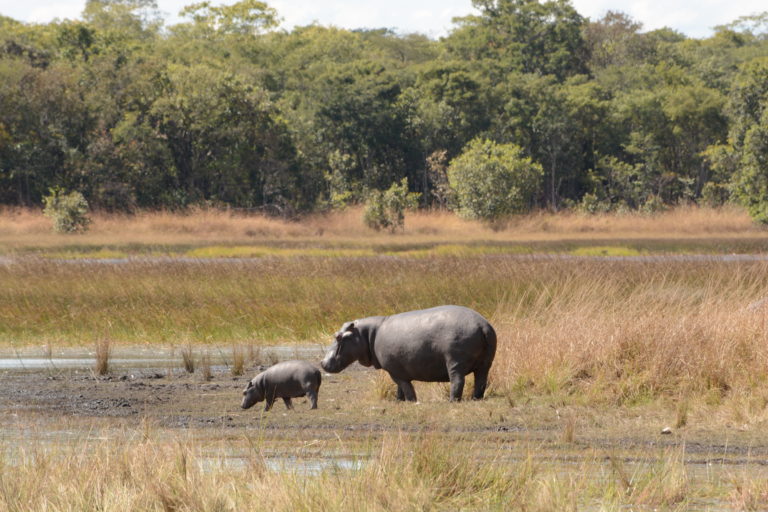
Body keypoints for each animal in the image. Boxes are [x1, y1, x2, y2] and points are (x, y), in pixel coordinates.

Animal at [321, 305, 496, 402]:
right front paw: (399, 401)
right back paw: (476, 398)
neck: (367, 334)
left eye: (338, 336)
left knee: (457, 381)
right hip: (485, 364)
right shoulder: (398, 370)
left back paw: (452, 401)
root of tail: (482, 325)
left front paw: (411, 401)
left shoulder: (395, 372)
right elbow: (400, 389)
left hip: (455, 361)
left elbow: (406, 387)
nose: (322, 362)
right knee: (481, 381)